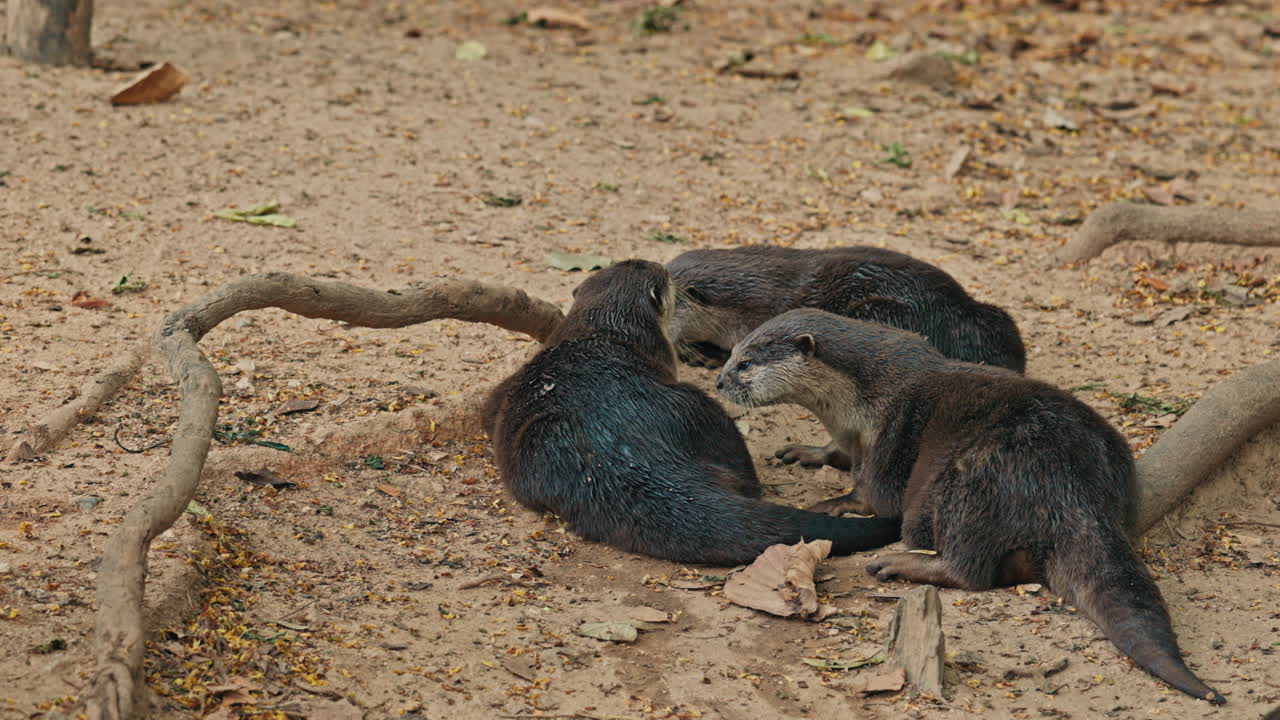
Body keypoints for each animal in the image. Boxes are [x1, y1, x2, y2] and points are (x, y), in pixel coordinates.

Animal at [715, 308, 1224, 704]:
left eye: (746, 363)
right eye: (731, 353)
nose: (719, 381)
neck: (862, 397)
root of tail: (1072, 483)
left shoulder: (889, 433)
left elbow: (875, 495)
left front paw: (835, 502)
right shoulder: (850, 432)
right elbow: (837, 452)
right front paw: (808, 452)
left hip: (970, 480)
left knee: (967, 568)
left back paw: (899, 564)